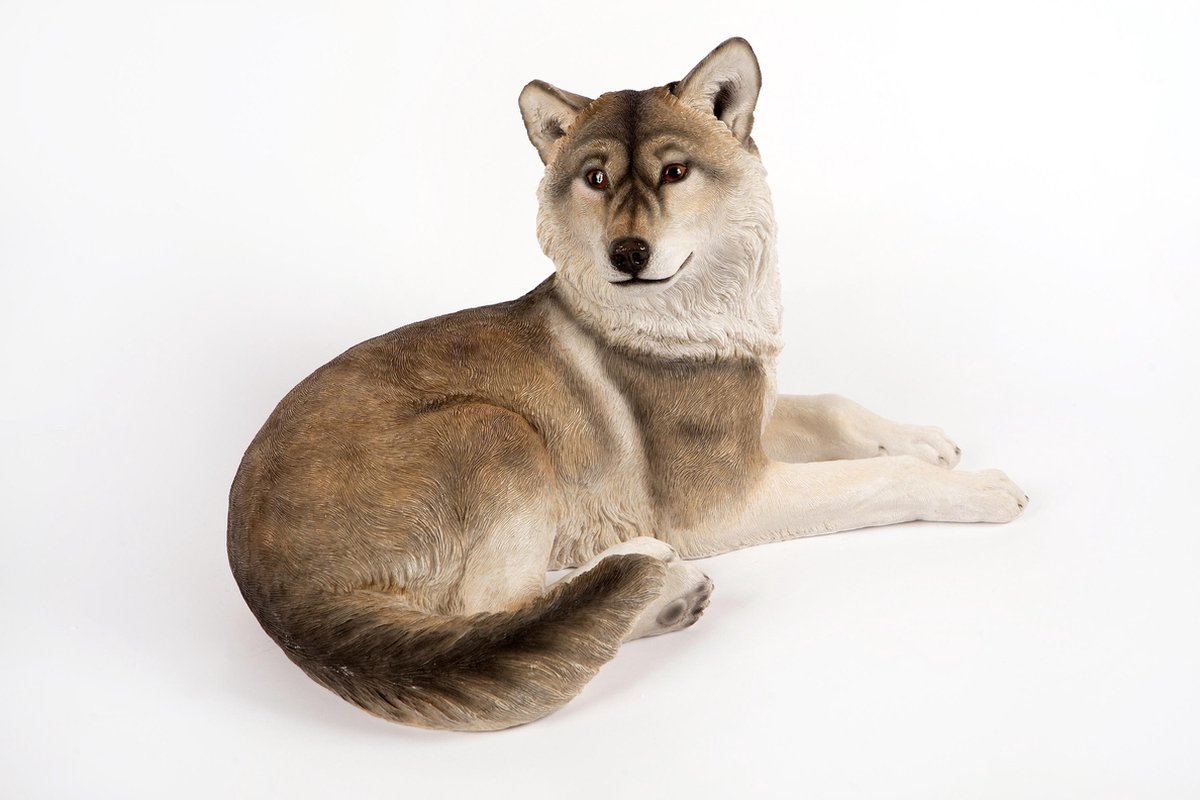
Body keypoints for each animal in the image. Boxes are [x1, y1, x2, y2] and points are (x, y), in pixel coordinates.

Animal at [227, 38, 1026, 732]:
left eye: (675, 173)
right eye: (597, 179)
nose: (629, 252)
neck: (692, 317)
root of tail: (269, 583)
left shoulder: (756, 411)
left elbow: (836, 408)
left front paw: (923, 440)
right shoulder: (728, 500)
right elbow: (881, 479)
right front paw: (982, 490)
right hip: (495, 427)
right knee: (492, 611)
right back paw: (657, 591)